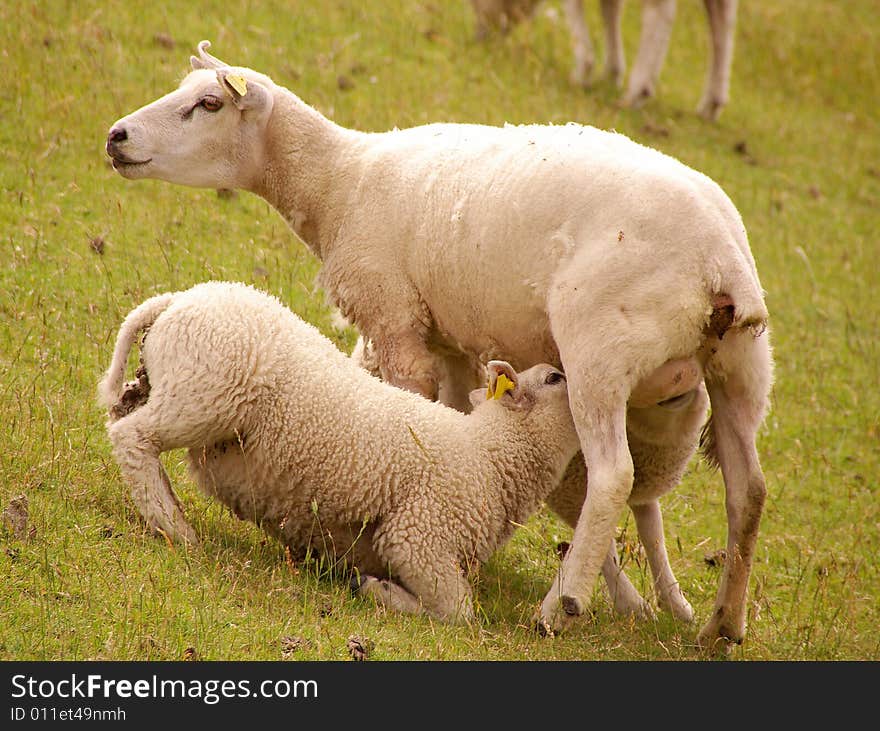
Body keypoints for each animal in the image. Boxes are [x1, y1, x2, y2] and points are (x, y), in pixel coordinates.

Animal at [98, 280, 592, 624]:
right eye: (554, 378)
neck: (491, 456)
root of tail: (177, 299)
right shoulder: (417, 535)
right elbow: (460, 613)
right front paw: (378, 591)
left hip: (171, 386)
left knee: (123, 415)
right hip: (207, 393)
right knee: (132, 438)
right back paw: (175, 526)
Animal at [470, 0, 740, 120]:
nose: (480, 37)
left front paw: (583, 71)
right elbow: (610, 8)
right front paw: (611, 73)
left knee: (662, 10)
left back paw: (637, 91)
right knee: (723, 13)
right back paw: (712, 102)